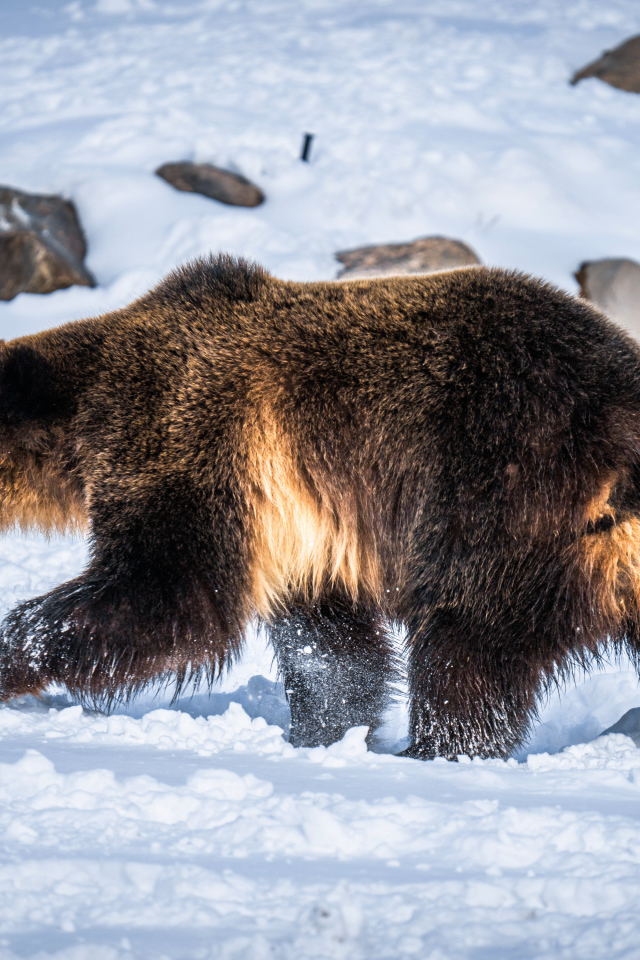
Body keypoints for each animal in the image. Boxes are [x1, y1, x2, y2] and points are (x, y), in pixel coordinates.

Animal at [0, 254, 639, 761]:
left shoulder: (187, 433)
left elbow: (167, 594)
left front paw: (14, 653)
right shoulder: (300, 533)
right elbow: (331, 652)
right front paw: (321, 733)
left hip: (498, 491)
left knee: (465, 642)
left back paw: (433, 749)